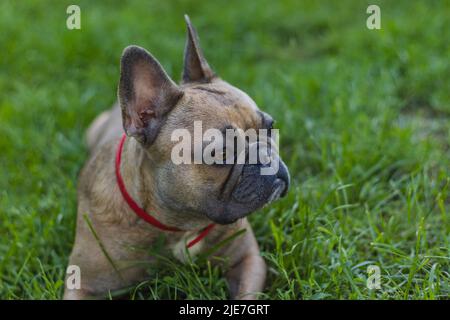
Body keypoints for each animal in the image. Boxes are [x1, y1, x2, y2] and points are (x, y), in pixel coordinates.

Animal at [63, 15, 288, 300]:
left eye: (270, 128)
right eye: (221, 153)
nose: (266, 157)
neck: (180, 226)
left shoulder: (248, 260)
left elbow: (245, 296)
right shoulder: (83, 284)